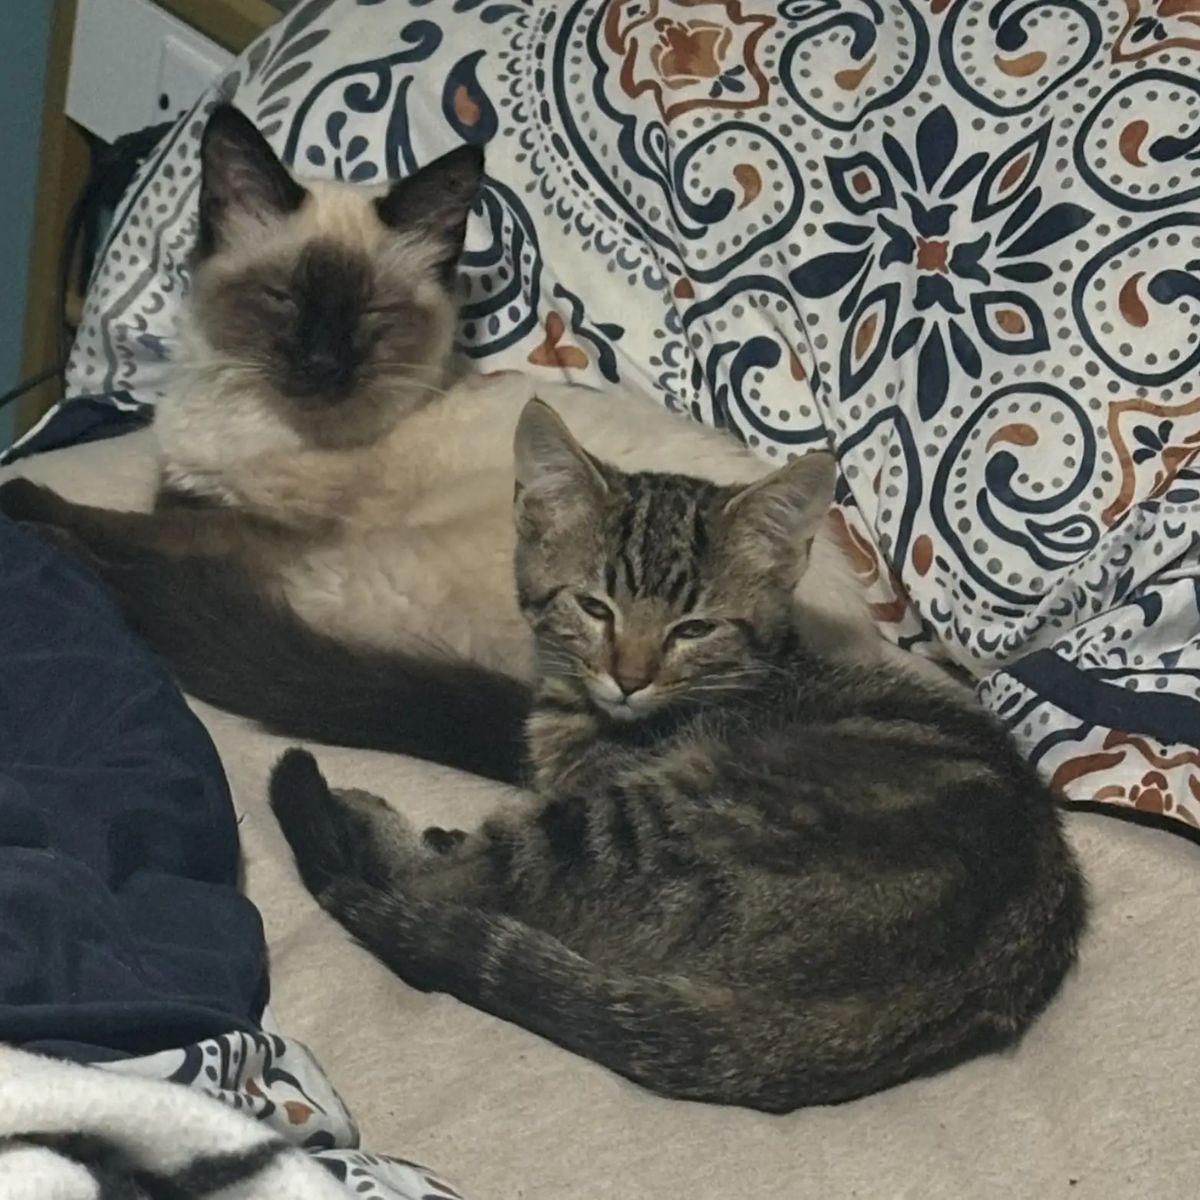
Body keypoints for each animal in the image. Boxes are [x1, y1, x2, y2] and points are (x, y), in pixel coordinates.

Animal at [0, 100, 955, 777]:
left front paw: (30, 500)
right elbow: (162, 505)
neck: (253, 417)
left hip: (347, 571)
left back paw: (64, 555)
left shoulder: (254, 526)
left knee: (181, 591)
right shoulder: (196, 486)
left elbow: (147, 527)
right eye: (283, 301)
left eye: (371, 318)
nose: (321, 366)